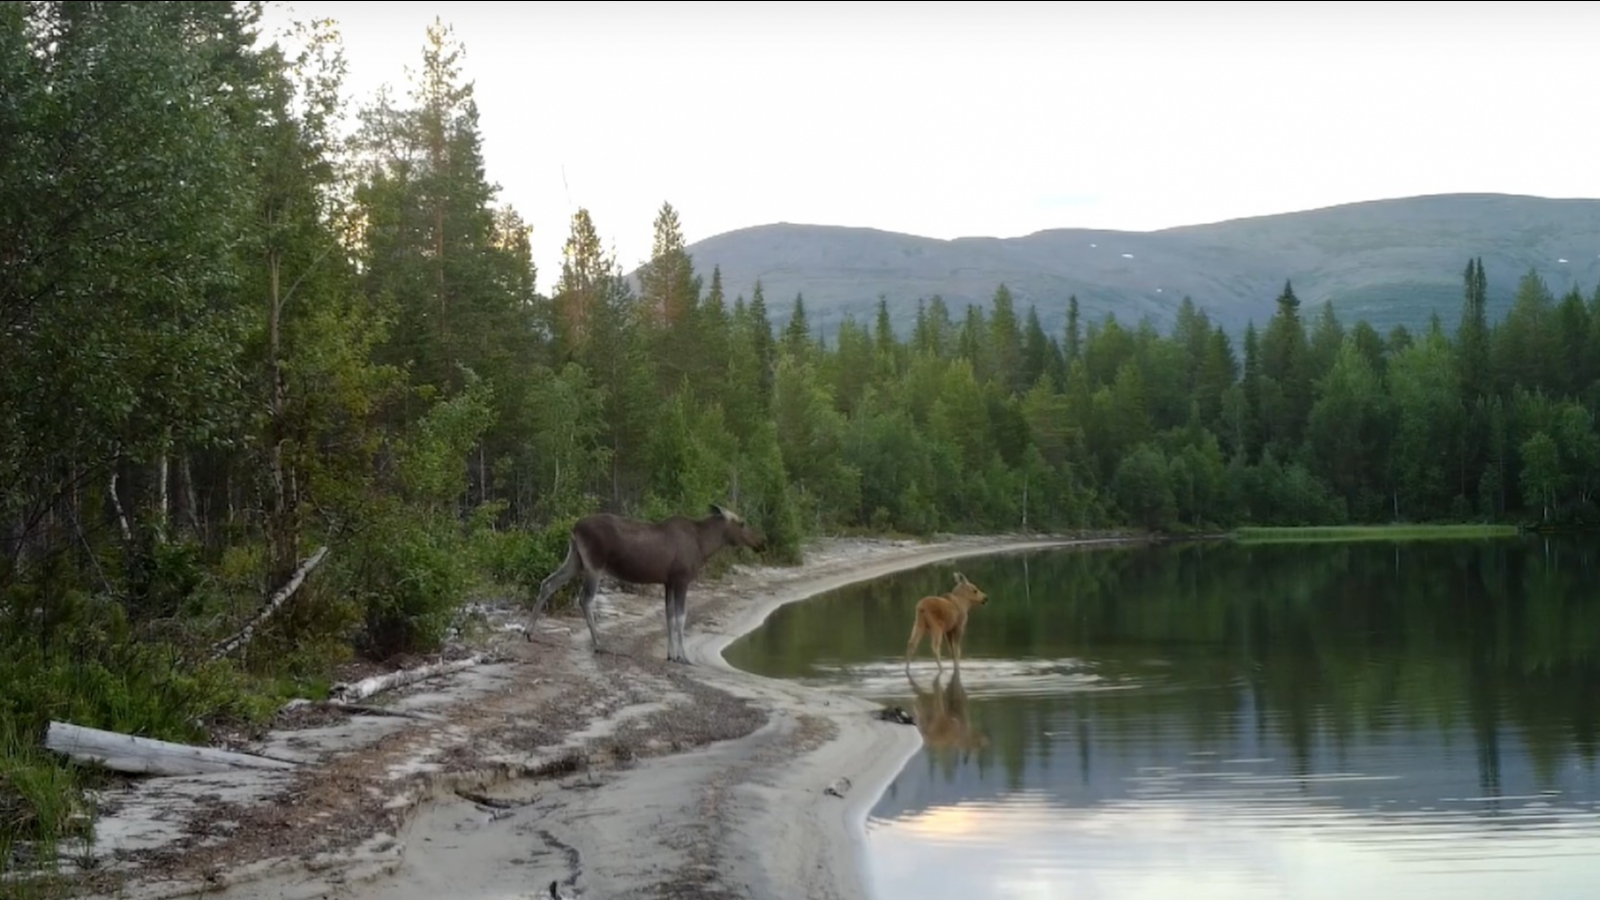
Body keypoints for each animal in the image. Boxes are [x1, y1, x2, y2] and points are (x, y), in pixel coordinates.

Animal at [528, 506, 764, 659]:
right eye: (742, 523)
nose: (761, 542)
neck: (703, 546)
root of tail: (574, 527)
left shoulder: (668, 582)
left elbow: (669, 617)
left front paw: (671, 654)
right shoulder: (682, 579)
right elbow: (681, 618)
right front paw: (683, 656)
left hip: (575, 559)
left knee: (548, 583)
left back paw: (528, 631)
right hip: (594, 565)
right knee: (585, 599)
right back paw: (598, 644)